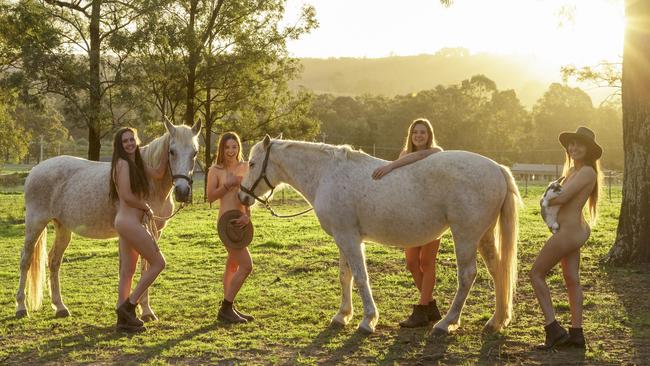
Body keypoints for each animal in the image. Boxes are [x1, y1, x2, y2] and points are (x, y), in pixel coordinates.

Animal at [16, 121, 201, 320]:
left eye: (195, 152)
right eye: (172, 151)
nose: (182, 192)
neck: (149, 181)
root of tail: (35, 170)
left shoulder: (154, 232)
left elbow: (146, 267)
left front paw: (146, 310)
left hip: (63, 228)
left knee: (54, 261)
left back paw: (60, 307)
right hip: (35, 224)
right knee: (26, 260)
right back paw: (21, 307)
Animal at [235, 136, 520, 334]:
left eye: (252, 163)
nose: (242, 196)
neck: (327, 174)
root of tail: (497, 168)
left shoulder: (350, 239)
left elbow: (361, 278)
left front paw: (367, 320)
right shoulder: (343, 239)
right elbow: (345, 276)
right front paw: (342, 316)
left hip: (465, 237)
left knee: (467, 276)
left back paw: (446, 323)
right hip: (483, 236)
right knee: (498, 270)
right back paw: (496, 321)